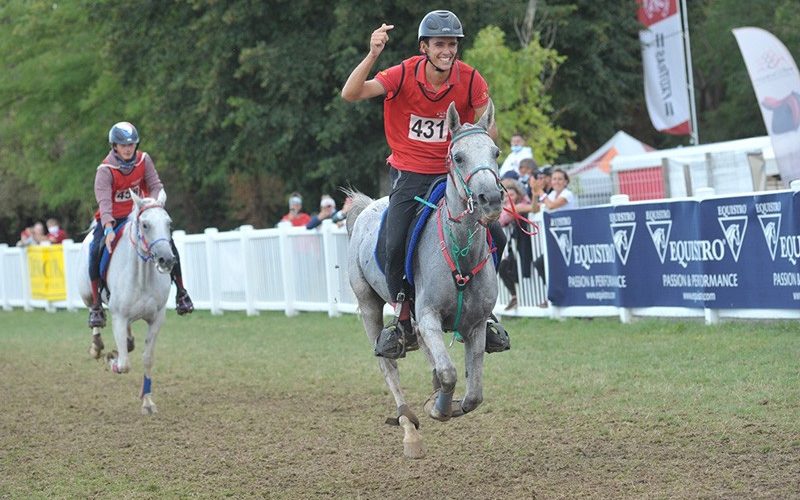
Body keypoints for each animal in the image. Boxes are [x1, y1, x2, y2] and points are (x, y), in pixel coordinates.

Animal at [77, 189, 175, 415]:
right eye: (145, 225)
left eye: (169, 224)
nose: (166, 259)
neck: (142, 277)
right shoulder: (119, 318)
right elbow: (123, 365)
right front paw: (111, 358)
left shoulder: (157, 319)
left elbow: (147, 358)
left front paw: (147, 401)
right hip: (87, 295)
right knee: (94, 311)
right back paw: (97, 346)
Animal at [345, 100, 503, 458]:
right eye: (458, 157)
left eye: (496, 152)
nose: (491, 199)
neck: (459, 249)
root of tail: (368, 206)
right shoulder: (429, 316)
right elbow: (448, 372)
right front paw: (439, 408)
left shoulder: (475, 325)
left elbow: (474, 394)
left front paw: (451, 404)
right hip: (368, 304)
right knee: (388, 367)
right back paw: (409, 430)